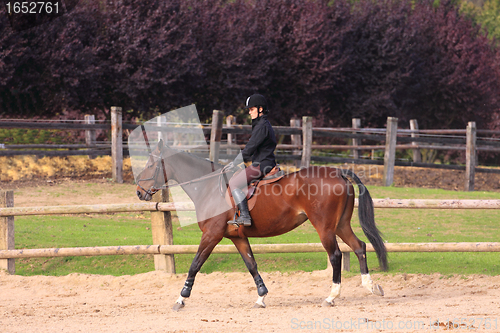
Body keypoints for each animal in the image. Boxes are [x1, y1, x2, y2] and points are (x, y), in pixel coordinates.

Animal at [136, 139, 386, 310]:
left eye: (150, 164)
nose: (139, 192)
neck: (208, 187)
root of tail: (339, 173)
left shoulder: (211, 235)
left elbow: (195, 265)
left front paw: (181, 298)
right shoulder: (237, 237)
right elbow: (251, 264)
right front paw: (261, 296)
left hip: (325, 227)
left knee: (336, 255)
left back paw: (332, 296)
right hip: (341, 225)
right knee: (359, 247)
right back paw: (371, 286)